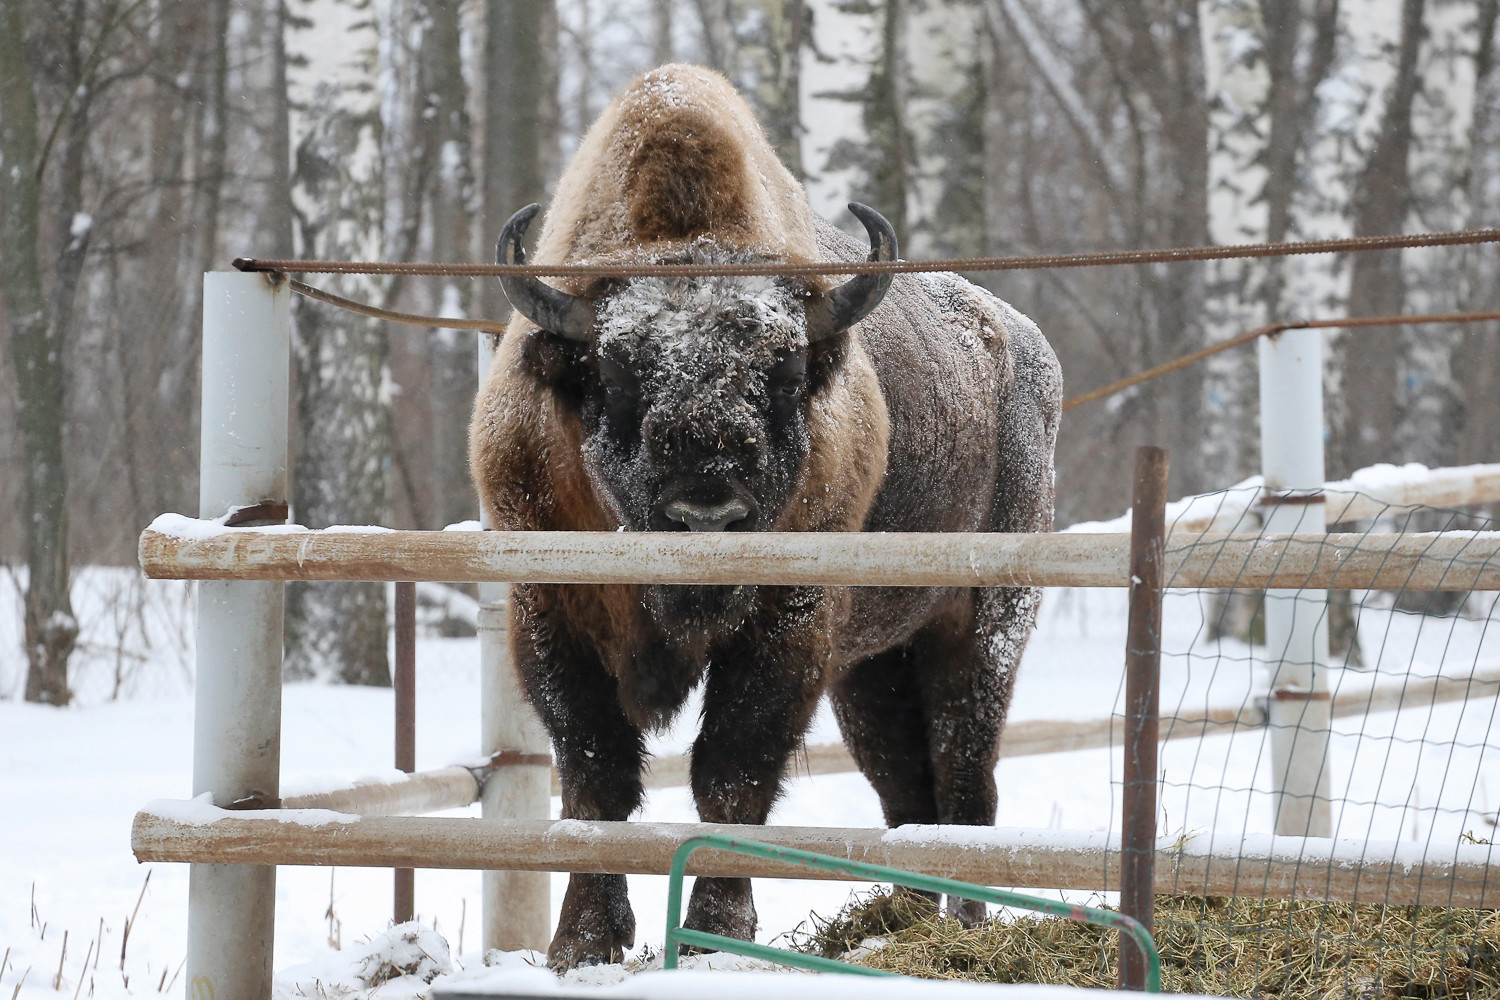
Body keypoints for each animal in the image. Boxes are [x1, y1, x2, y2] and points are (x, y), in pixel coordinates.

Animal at [474, 62, 1062, 971]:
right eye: (615, 371)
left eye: (784, 372)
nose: (708, 509)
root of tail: (1024, 347)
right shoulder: (551, 609)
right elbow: (595, 771)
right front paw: (583, 942)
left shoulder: (787, 622)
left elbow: (732, 768)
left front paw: (716, 933)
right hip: (871, 666)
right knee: (906, 786)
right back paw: (907, 919)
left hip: (985, 623)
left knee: (967, 776)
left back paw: (960, 932)